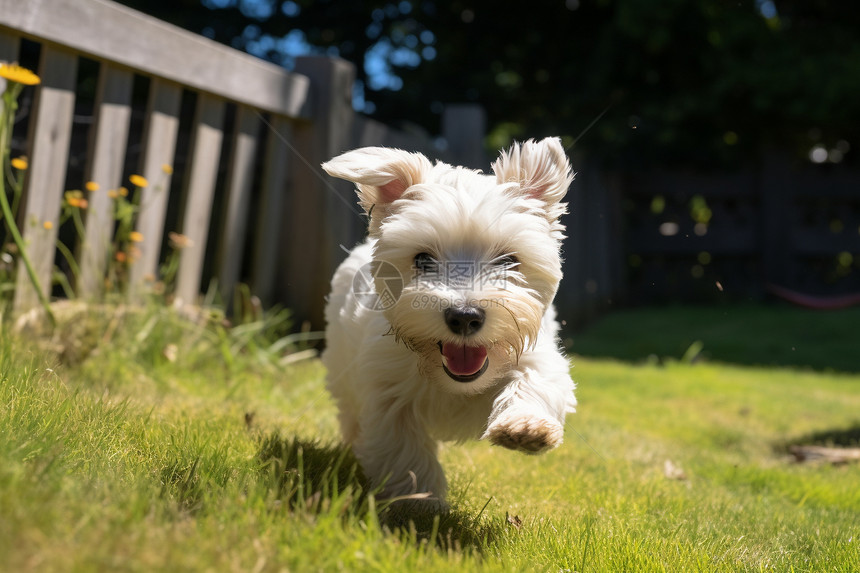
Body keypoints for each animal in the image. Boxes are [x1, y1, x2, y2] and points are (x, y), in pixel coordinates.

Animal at [322, 137, 576, 504]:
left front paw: (526, 426)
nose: (465, 316)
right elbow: (403, 449)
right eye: (423, 259)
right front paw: (419, 500)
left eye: (508, 261)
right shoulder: (386, 390)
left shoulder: (538, 354)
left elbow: (536, 380)